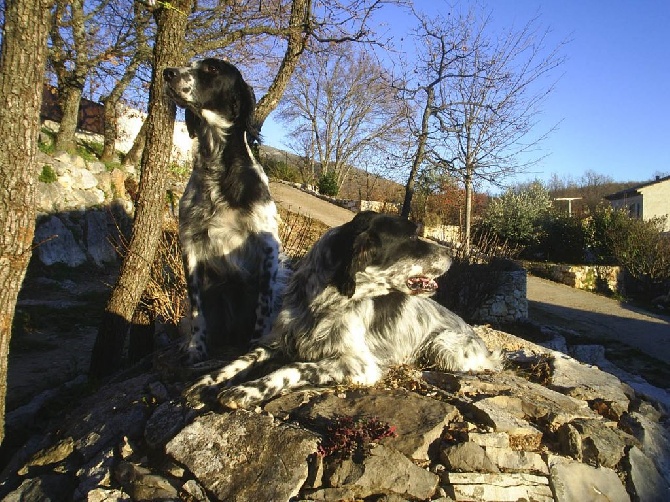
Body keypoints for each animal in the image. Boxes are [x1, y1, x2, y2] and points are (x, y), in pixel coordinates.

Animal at [165, 58, 286, 362]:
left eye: (211, 69)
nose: (167, 73)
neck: (217, 169)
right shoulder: (190, 241)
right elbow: (197, 309)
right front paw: (196, 348)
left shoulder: (268, 246)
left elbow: (263, 306)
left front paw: (255, 345)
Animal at [186, 210, 502, 410]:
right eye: (413, 238)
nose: (452, 255)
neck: (324, 304)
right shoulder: (276, 341)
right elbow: (240, 360)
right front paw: (206, 382)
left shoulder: (359, 365)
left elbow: (293, 368)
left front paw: (247, 390)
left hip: (444, 349)